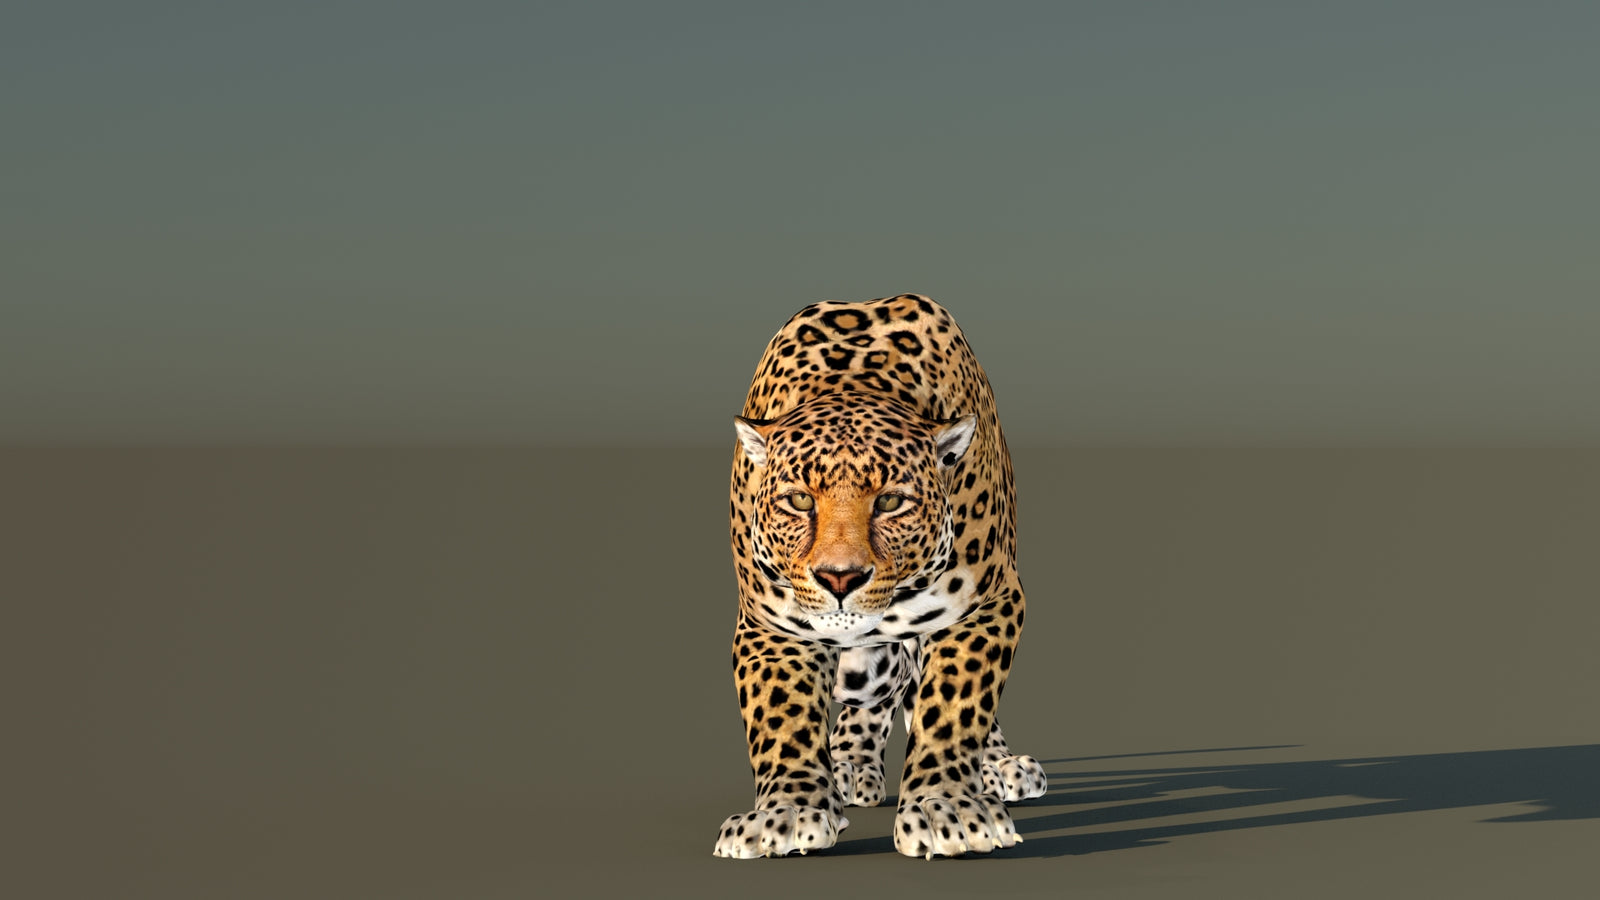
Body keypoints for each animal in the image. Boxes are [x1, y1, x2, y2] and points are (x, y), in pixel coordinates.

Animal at [713, 294, 1047, 860]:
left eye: (891, 502)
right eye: (799, 500)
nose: (840, 578)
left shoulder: (990, 602)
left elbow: (955, 704)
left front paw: (946, 809)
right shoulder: (771, 624)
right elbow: (781, 718)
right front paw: (788, 812)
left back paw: (1001, 766)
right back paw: (847, 766)